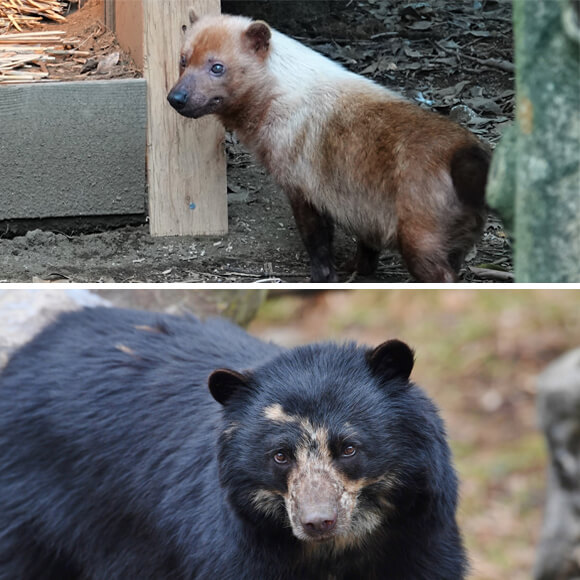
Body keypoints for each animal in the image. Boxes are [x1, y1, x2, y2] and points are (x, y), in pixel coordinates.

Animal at [0, 306, 466, 576]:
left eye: (349, 448)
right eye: (279, 456)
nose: (317, 522)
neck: (337, 551)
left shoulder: (419, 540)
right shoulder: (230, 551)